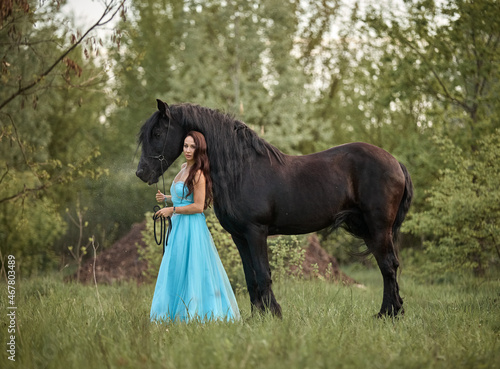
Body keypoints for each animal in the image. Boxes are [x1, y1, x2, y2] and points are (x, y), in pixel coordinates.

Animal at [135, 98, 412, 316]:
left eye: (157, 134)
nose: (141, 173)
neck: (241, 169)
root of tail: (395, 162)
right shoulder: (240, 236)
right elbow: (250, 277)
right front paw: (256, 316)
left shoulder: (256, 232)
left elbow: (263, 273)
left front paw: (273, 314)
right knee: (388, 265)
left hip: (378, 227)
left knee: (388, 266)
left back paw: (387, 314)